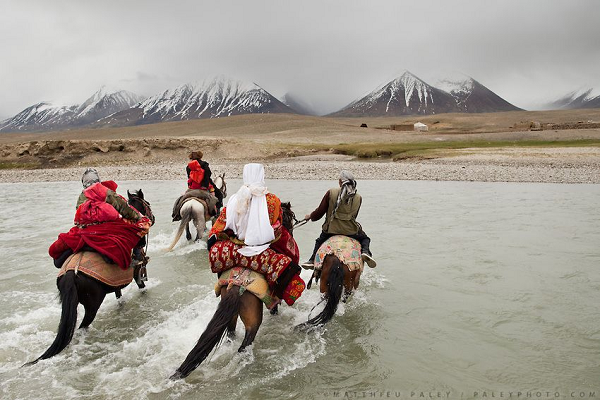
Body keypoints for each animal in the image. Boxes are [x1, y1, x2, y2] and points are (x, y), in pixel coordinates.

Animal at [24, 191, 155, 366]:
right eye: (147, 204)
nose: (153, 217)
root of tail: (71, 274)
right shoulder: (138, 273)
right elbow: (142, 288)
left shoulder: (115, 283)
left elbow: (119, 297)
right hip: (92, 304)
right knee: (82, 326)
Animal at [169, 202, 300, 380]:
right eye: (290, 217)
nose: (292, 230)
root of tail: (236, 285)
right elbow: (275, 308)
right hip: (253, 321)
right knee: (244, 344)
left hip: (232, 315)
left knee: (230, 334)